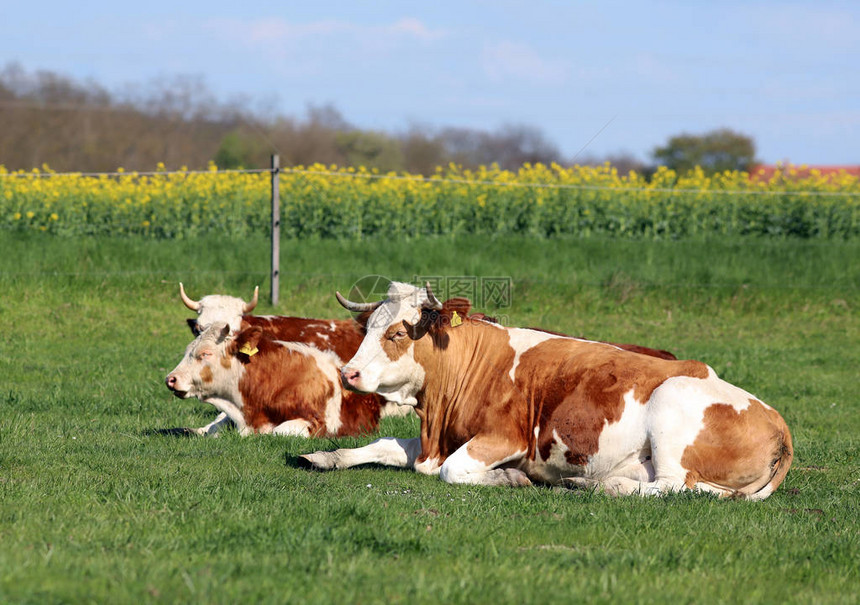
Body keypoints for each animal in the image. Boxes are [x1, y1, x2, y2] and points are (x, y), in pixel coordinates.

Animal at [302, 284, 792, 500]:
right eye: (368, 326)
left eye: (400, 332)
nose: (348, 373)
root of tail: (777, 420)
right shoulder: (437, 438)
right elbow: (384, 445)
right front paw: (322, 457)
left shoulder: (504, 439)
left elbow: (452, 471)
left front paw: (512, 477)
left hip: (672, 407)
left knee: (672, 486)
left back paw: (598, 486)